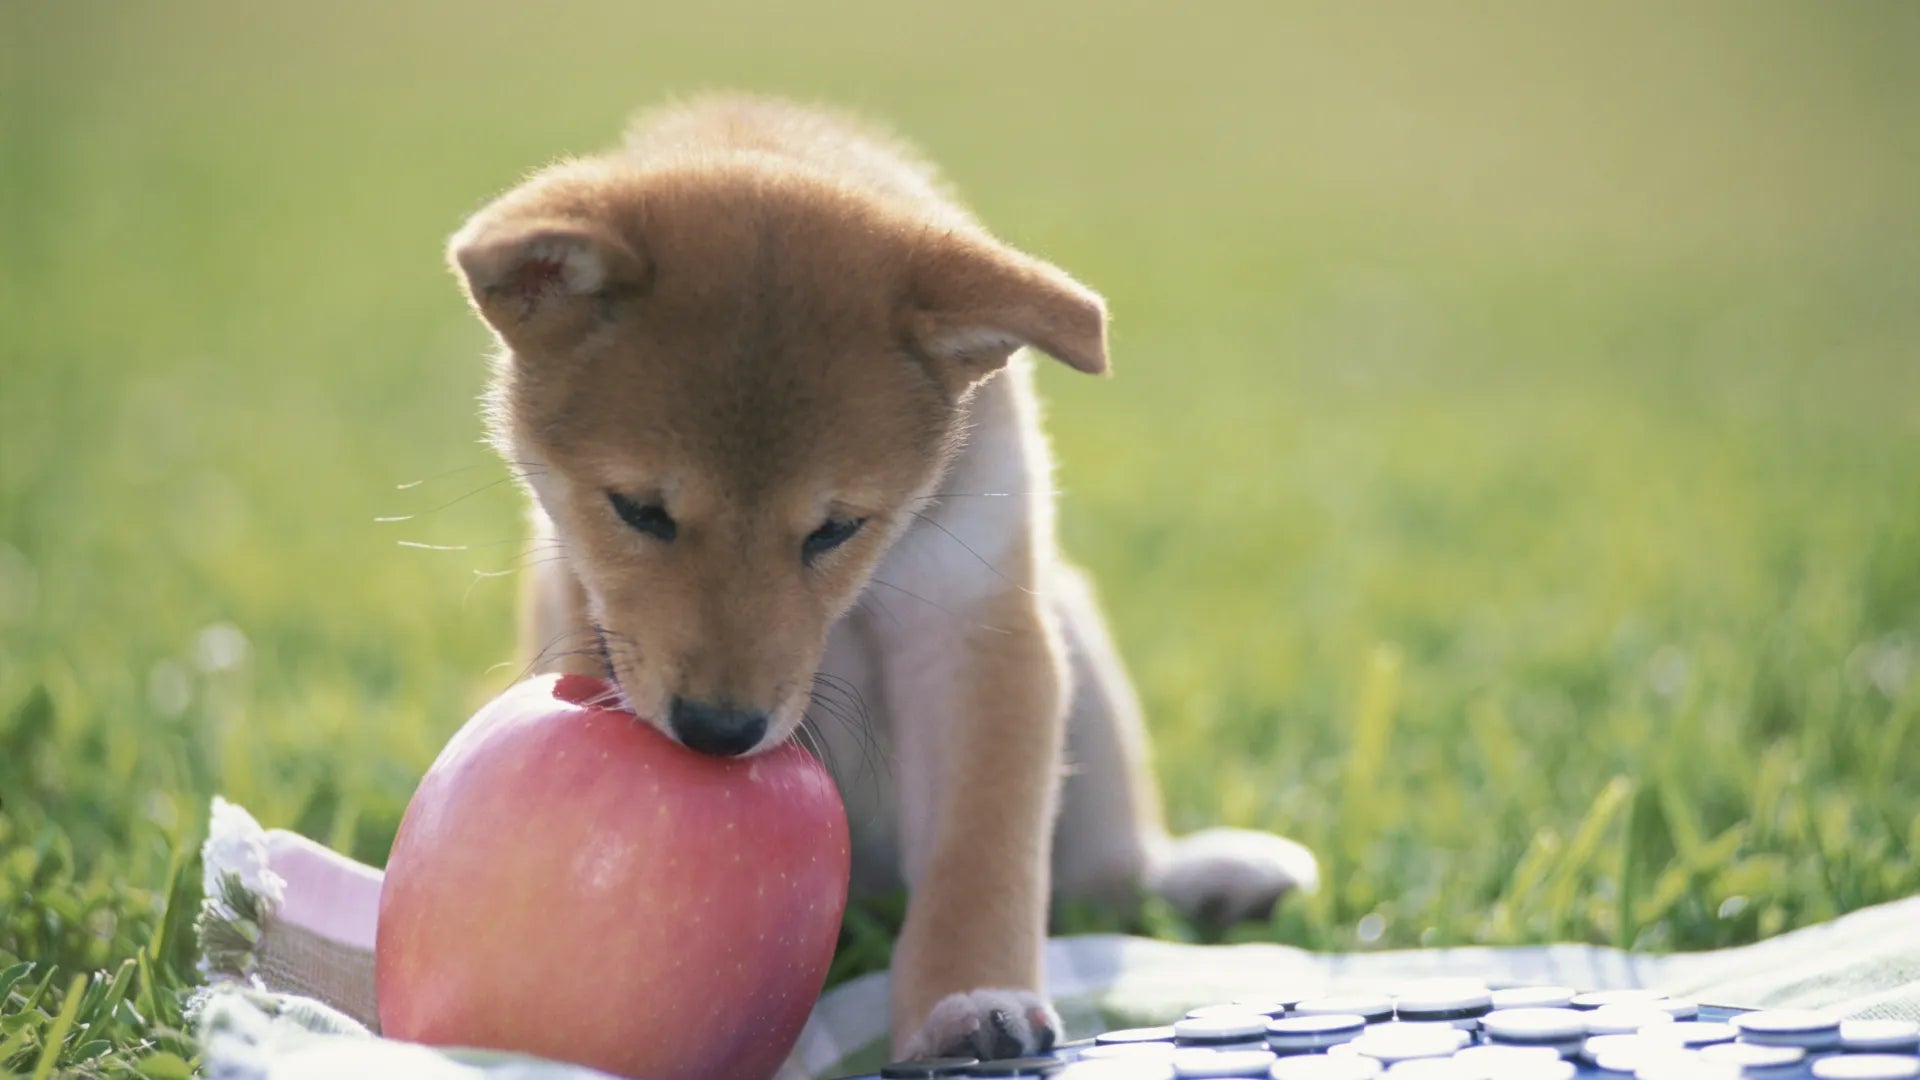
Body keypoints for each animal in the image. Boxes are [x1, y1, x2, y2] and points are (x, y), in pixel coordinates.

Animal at [449, 96, 1320, 1053]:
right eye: (639, 511)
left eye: (836, 528)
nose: (719, 731)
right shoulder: (584, 604)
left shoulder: (972, 628)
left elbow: (981, 858)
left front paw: (969, 1002)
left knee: (1104, 873)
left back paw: (1212, 878)